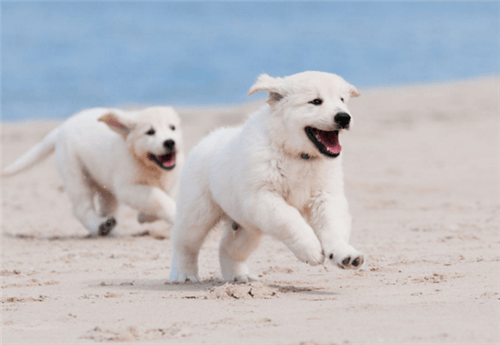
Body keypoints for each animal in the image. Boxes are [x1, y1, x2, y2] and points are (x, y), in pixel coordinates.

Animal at [3, 106, 184, 235]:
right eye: (150, 132)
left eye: (172, 128)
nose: (170, 142)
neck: (151, 167)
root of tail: (62, 127)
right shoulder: (128, 187)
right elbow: (159, 197)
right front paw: (170, 213)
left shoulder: (174, 179)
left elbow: (167, 195)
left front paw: (144, 216)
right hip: (75, 174)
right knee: (81, 208)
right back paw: (99, 226)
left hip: (105, 185)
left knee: (106, 208)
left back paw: (111, 229)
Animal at [171, 70, 364, 282]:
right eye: (315, 101)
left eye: (342, 100)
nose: (344, 117)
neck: (298, 156)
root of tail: (206, 139)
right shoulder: (262, 196)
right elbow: (290, 218)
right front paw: (311, 249)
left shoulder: (325, 196)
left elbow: (333, 224)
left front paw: (345, 254)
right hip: (198, 212)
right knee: (185, 244)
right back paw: (184, 274)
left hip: (248, 226)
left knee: (228, 248)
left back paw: (239, 277)